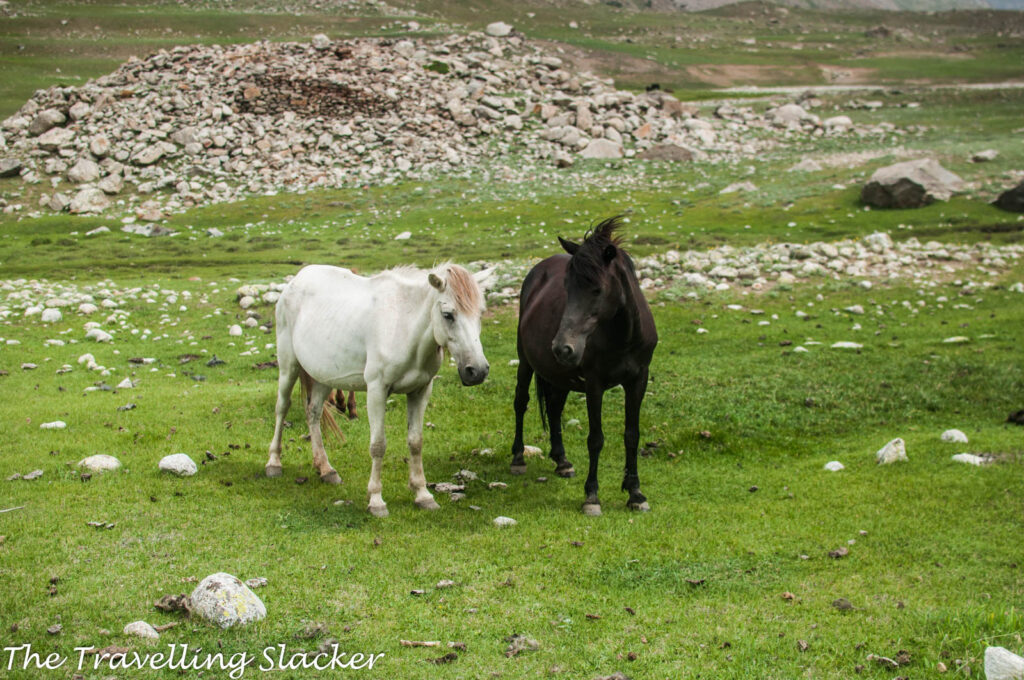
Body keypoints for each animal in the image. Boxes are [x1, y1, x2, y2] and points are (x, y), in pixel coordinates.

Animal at [266, 262, 493, 518]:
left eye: (480, 313)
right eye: (448, 315)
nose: (477, 371)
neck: (404, 325)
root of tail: (296, 280)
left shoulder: (420, 391)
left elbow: (416, 442)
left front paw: (423, 495)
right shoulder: (377, 390)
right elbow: (378, 445)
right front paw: (376, 500)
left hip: (323, 375)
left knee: (313, 413)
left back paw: (325, 469)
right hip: (289, 366)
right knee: (282, 408)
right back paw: (273, 463)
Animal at [509, 218, 655, 516]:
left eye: (597, 289)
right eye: (566, 287)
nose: (562, 348)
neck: (624, 336)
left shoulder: (638, 380)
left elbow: (632, 435)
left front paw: (635, 493)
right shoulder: (594, 384)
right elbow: (595, 438)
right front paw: (592, 496)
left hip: (560, 376)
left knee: (554, 409)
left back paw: (562, 461)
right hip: (526, 362)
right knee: (521, 402)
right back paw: (518, 458)